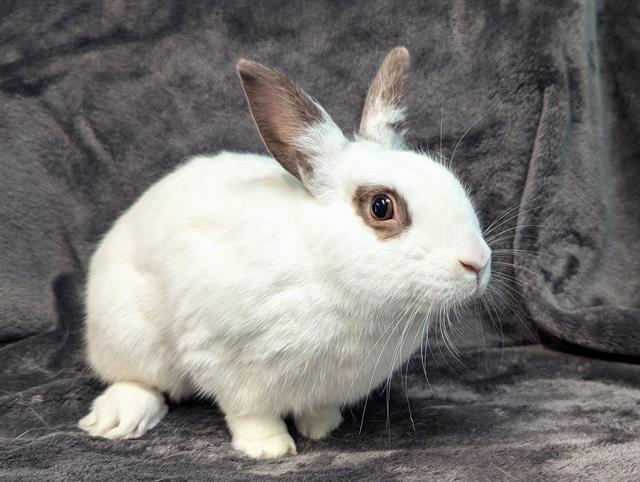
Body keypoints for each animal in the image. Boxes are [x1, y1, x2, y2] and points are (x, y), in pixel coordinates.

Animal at [79, 48, 490, 460]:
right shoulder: (220, 359)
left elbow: (318, 408)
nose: (478, 263)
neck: (327, 273)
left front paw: (323, 428)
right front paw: (269, 449)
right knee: (138, 379)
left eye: (449, 179)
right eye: (380, 207)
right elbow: (249, 413)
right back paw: (117, 419)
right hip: (130, 334)